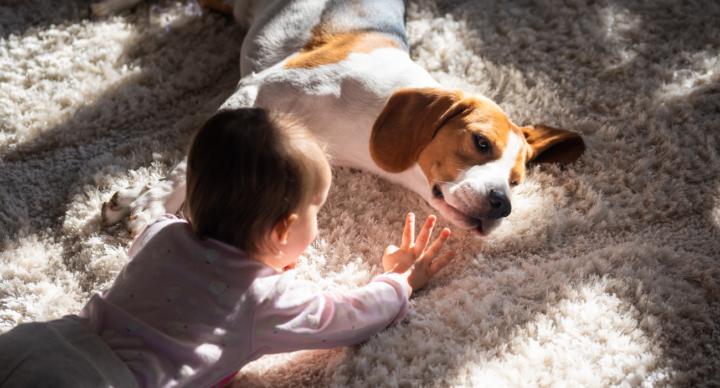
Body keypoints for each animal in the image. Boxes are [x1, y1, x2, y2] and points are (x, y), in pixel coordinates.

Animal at [101, 0, 584, 236]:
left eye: (517, 181)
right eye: (481, 143)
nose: (503, 204)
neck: (372, 115)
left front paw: (136, 200)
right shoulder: (253, 91)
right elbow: (188, 167)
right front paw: (154, 206)